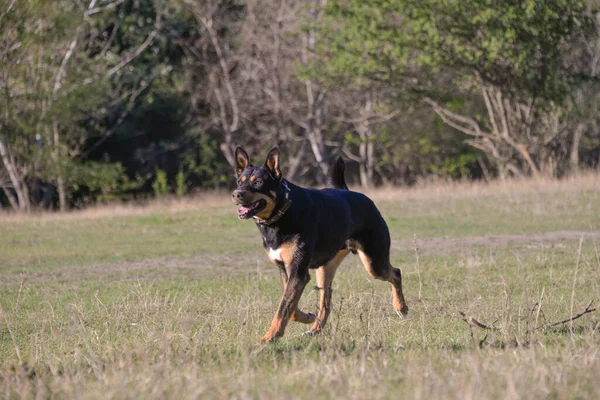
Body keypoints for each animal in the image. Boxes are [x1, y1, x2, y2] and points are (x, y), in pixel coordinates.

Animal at [231, 148, 408, 342]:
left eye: (259, 182)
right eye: (240, 181)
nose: (236, 194)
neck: (283, 212)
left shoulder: (298, 272)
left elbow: (283, 308)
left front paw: (269, 338)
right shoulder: (285, 269)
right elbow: (290, 308)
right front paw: (307, 317)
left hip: (373, 263)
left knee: (396, 273)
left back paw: (401, 308)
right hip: (324, 269)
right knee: (327, 302)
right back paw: (314, 329)